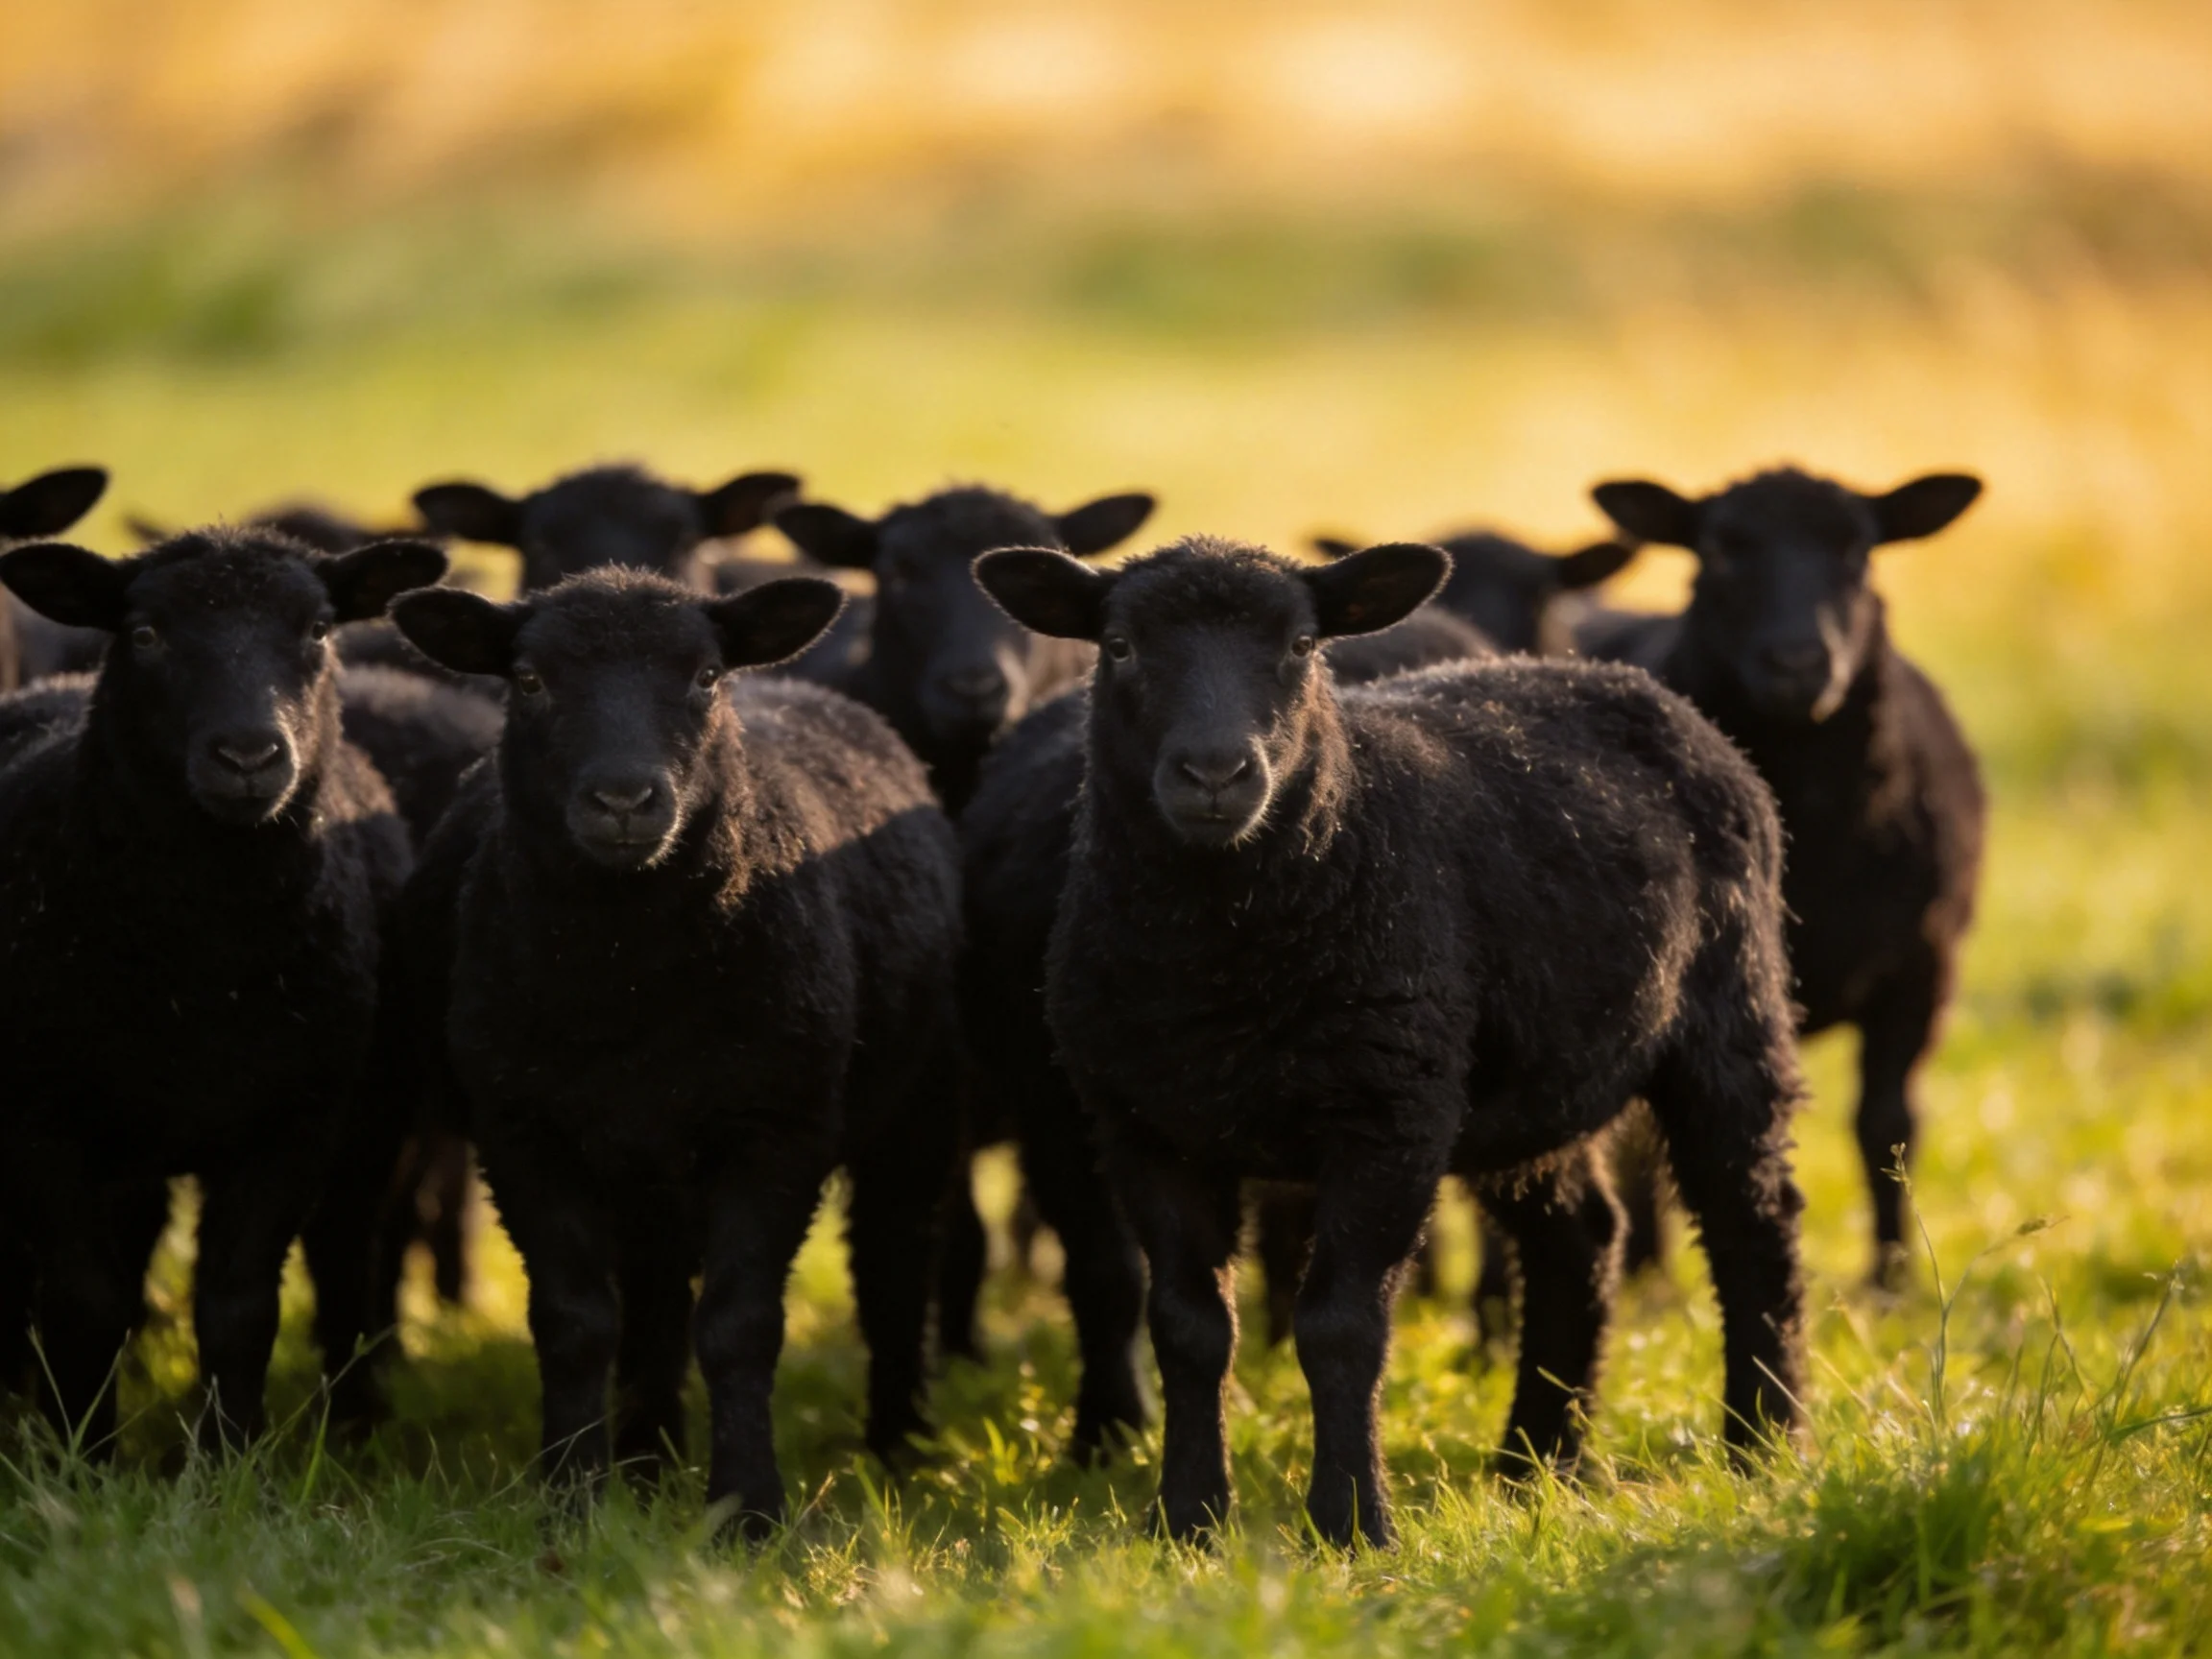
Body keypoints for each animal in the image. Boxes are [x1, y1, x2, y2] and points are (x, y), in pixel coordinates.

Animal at [0, 526, 446, 1444]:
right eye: (144, 635)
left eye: (318, 629)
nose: (249, 755)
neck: (201, 966)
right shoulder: (43, 1117)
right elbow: (84, 1302)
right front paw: (80, 1453)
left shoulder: (293, 1122)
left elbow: (238, 1307)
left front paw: (228, 1457)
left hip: (369, 1115)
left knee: (347, 1254)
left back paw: (356, 1422)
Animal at [387, 567, 963, 1535]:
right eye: (529, 680)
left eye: (704, 676)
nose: (624, 800)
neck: (631, 982)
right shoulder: (522, 1128)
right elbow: (576, 1321)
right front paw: (572, 1501)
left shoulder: (777, 1127)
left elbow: (740, 1326)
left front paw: (749, 1511)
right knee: (652, 1301)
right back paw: (647, 1461)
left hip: (910, 1110)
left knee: (892, 1259)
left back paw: (896, 1444)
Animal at [973, 535, 1807, 1549]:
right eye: (1121, 645)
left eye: (1300, 645)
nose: (1215, 774)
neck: (1224, 960)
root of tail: (1622, 680)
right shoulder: (1145, 1126)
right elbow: (1189, 1325)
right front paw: (1187, 1518)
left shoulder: (1390, 1115)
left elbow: (1341, 1326)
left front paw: (1351, 1523)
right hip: (1520, 1093)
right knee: (1579, 1238)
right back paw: (1537, 1464)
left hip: (1729, 1014)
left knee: (1751, 1220)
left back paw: (1762, 1443)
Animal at [1585, 466, 1986, 1285]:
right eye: (1720, 550)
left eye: (1858, 551)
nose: (1799, 664)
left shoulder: (1921, 969)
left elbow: (1886, 1126)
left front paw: (1890, 1280)